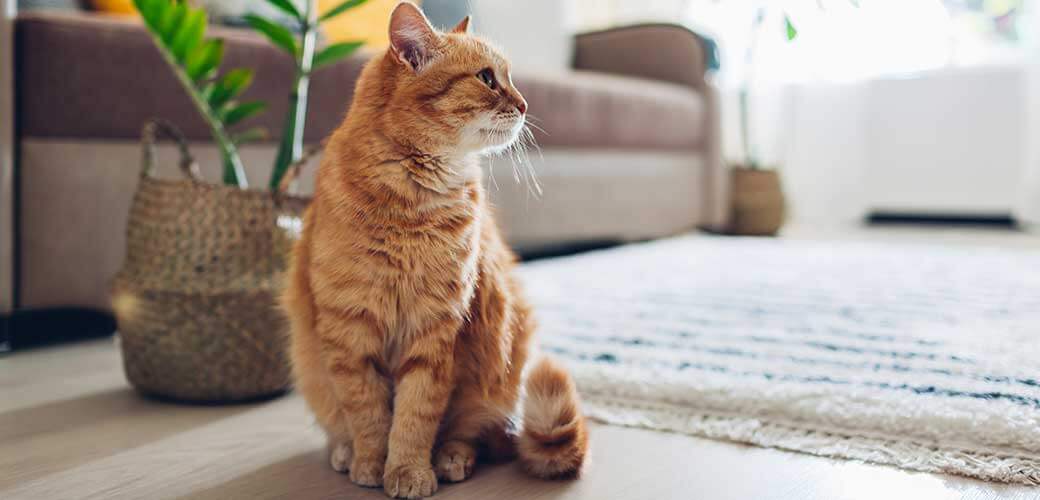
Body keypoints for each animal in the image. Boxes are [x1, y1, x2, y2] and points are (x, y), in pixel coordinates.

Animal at [284, 1, 590, 496]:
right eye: (487, 78)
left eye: (508, 77)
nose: (525, 105)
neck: (411, 205)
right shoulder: (350, 333)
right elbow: (368, 414)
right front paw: (371, 464)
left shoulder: (435, 331)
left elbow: (414, 416)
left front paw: (408, 471)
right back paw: (344, 452)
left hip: (501, 364)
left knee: (474, 433)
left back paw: (451, 458)